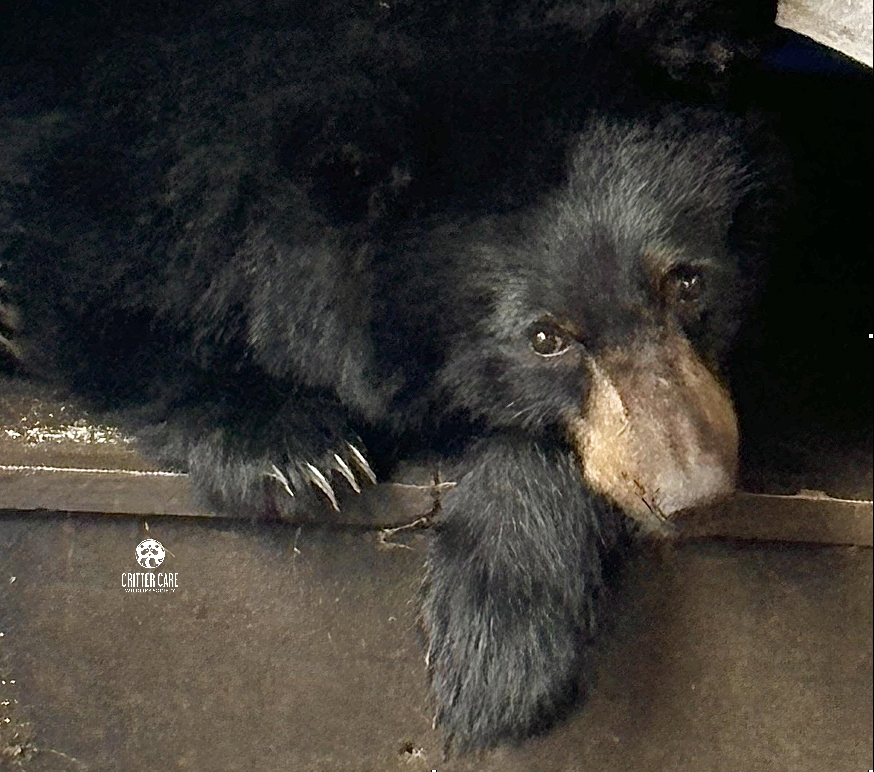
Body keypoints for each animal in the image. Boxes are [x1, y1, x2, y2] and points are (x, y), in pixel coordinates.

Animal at [0, 0, 776, 752]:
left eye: (687, 281)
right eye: (544, 338)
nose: (692, 493)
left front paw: (497, 650)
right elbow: (90, 299)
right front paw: (303, 454)